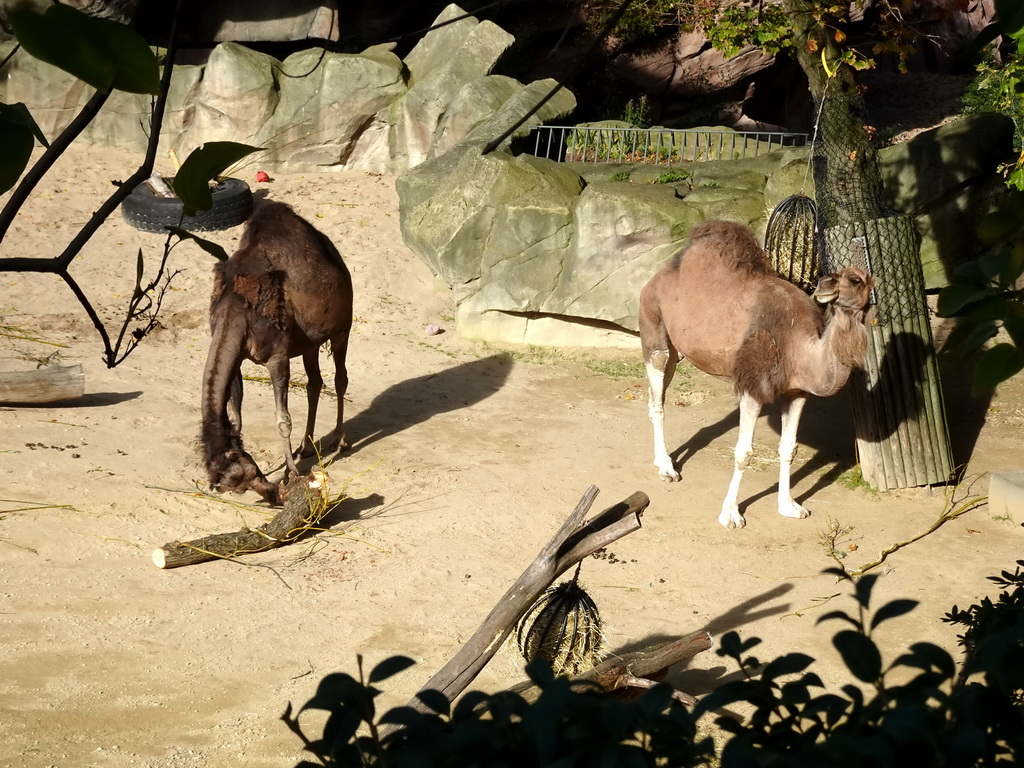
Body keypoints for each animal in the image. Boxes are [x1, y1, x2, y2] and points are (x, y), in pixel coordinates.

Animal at [201, 201, 354, 507]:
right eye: (238, 486)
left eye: (245, 476)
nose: (272, 496)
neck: (237, 309)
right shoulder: (237, 357)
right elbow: (236, 416)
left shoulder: (277, 356)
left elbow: (283, 419)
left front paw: (291, 473)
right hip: (309, 341)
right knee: (314, 383)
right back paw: (306, 447)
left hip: (343, 325)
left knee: (340, 378)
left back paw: (339, 440)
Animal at [638, 219, 872, 528]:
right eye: (838, 275)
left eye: (856, 280)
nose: (825, 284)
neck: (799, 347)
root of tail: (657, 276)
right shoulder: (753, 386)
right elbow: (743, 453)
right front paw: (730, 514)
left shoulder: (796, 392)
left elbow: (789, 448)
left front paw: (789, 506)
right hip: (653, 326)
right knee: (658, 395)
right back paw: (667, 468)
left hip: (677, 350)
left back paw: (661, 461)